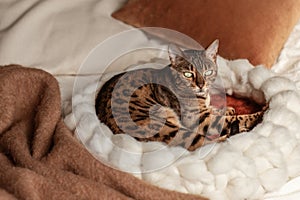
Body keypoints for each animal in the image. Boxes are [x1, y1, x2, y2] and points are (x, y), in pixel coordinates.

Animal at [94, 39, 264, 151]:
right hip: (167, 127)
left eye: (208, 72)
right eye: (188, 74)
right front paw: (260, 113)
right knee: (200, 144)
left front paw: (227, 109)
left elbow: (217, 109)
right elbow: (233, 119)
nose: (201, 85)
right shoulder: (200, 119)